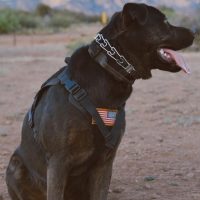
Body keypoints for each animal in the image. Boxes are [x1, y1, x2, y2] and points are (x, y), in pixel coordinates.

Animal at [6, 3, 194, 200]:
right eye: (165, 22)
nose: (194, 31)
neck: (107, 68)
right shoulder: (58, 161)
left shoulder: (105, 161)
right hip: (14, 166)